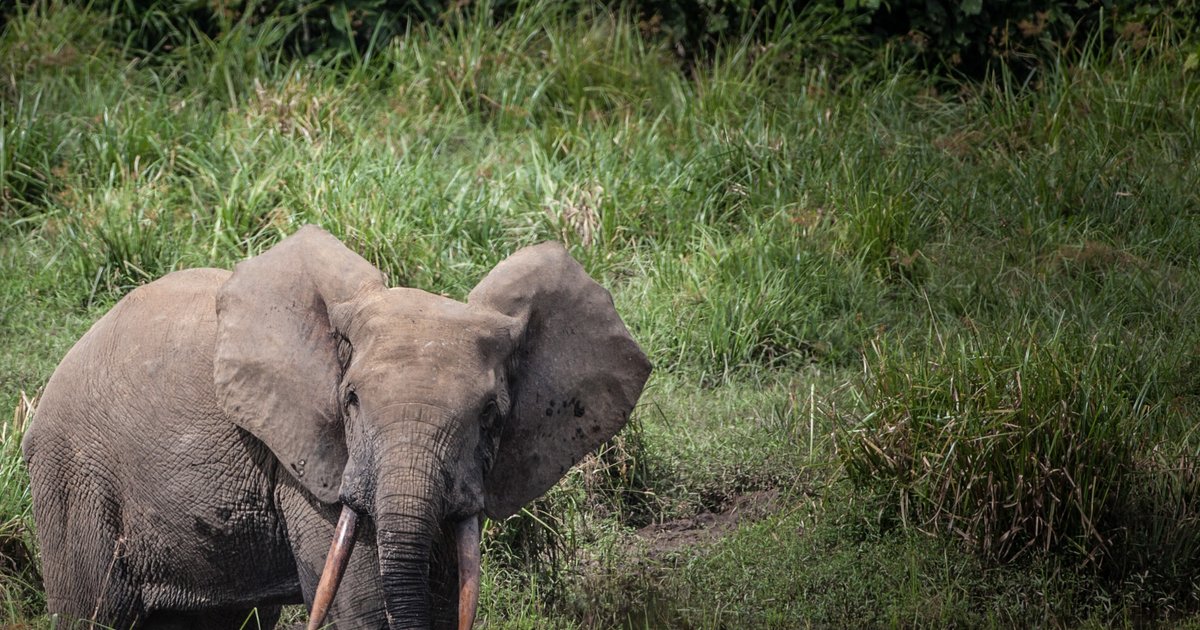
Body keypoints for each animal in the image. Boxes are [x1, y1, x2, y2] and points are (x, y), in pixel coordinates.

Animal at [22, 225, 651, 629]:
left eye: (492, 417)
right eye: (350, 401)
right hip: (73, 475)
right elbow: (364, 608)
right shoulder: (308, 463)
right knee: (94, 613)